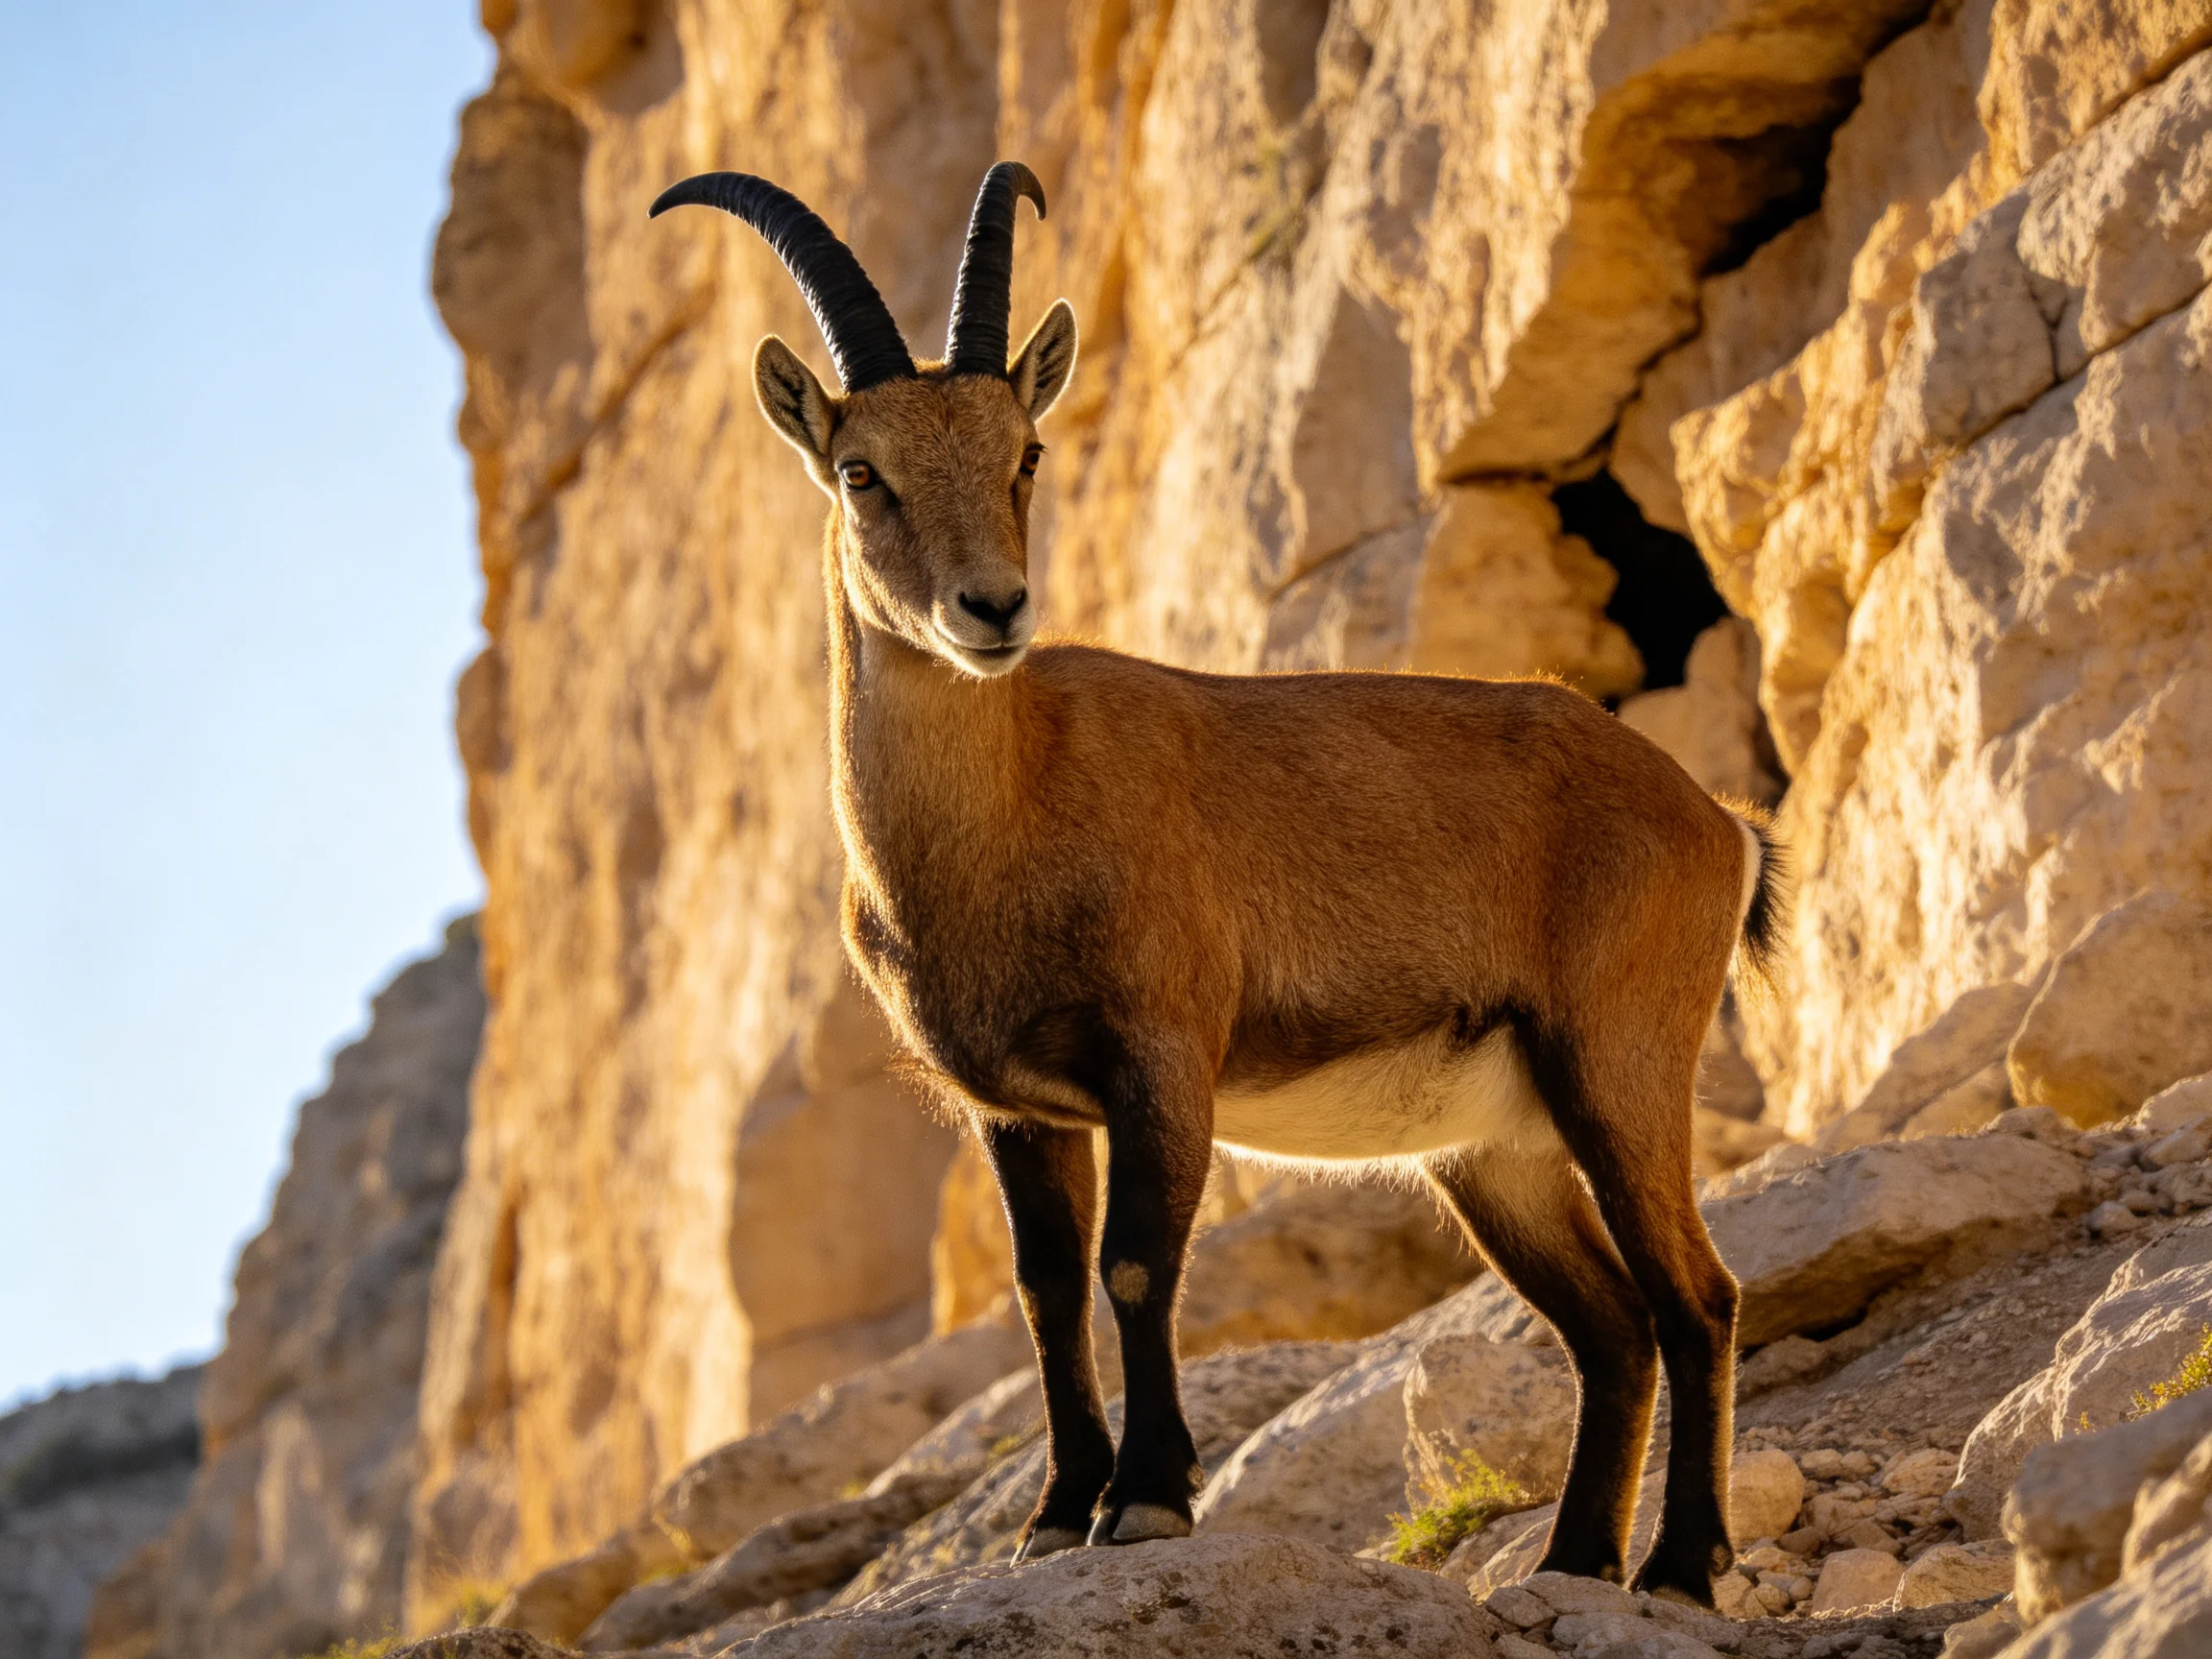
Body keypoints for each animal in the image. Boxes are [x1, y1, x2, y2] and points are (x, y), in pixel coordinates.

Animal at [650, 161, 1784, 1605]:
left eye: (1024, 452)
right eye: (863, 471)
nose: (992, 610)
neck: (1009, 817)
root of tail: (1715, 820)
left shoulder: (1164, 1051)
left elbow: (1137, 1265)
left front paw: (1145, 1499)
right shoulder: (1014, 1109)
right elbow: (1044, 1292)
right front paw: (1054, 1512)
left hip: (1619, 1060)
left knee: (1698, 1297)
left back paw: (1683, 1566)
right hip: (1498, 1148)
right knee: (1612, 1325)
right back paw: (1575, 1564)